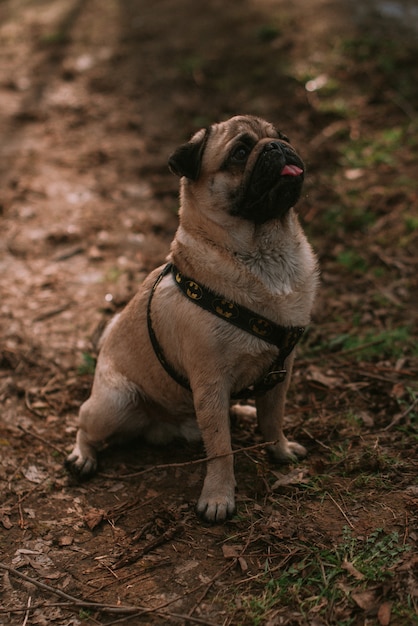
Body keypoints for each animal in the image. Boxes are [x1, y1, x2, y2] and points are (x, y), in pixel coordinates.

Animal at [67, 114, 318, 520]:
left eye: (283, 137)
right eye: (240, 153)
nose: (277, 147)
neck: (265, 253)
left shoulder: (281, 373)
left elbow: (273, 420)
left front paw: (279, 451)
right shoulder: (210, 381)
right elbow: (221, 450)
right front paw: (218, 497)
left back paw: (242, 410)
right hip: (114, 403)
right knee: (85, 425)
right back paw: (81, 457)